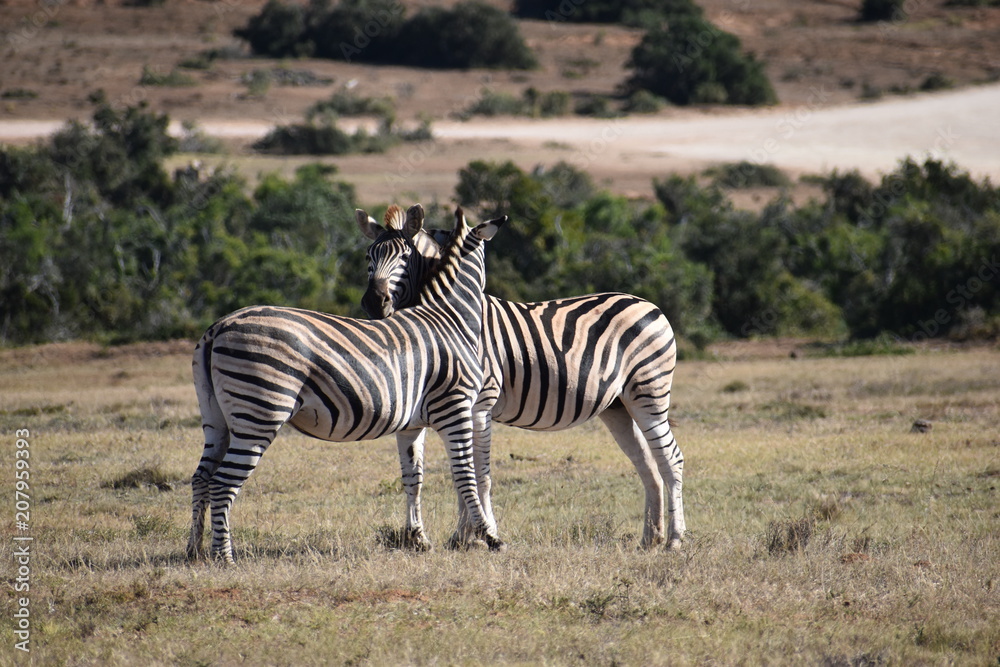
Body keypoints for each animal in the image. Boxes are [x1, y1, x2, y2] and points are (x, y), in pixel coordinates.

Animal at [187, 204, 507, 563]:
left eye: (406, 256)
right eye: (368, 255)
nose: (374, 303)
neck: (449, 315)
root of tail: (218, 326)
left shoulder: (413, 423)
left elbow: (414, 476)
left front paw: (419, 539)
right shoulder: (455, 406)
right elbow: (466, 474)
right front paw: (489, 536)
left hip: (216, 418)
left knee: (201, 477)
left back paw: (193, 550)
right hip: (259, 413)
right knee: (222, 483)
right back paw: (223, 557)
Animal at [356, 210, 686, 549]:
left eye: (405, 256)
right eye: (368, 255)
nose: (373, 303)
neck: (447, 314)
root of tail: (649, 304)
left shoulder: (477, 405)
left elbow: (476, 474)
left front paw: (475, 534)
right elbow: (428, 472)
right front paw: (461, 535)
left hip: (649, 391)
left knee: (671, 458)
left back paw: (674, 539)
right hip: (617, 406)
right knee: (648, 462)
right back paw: (651, 537)